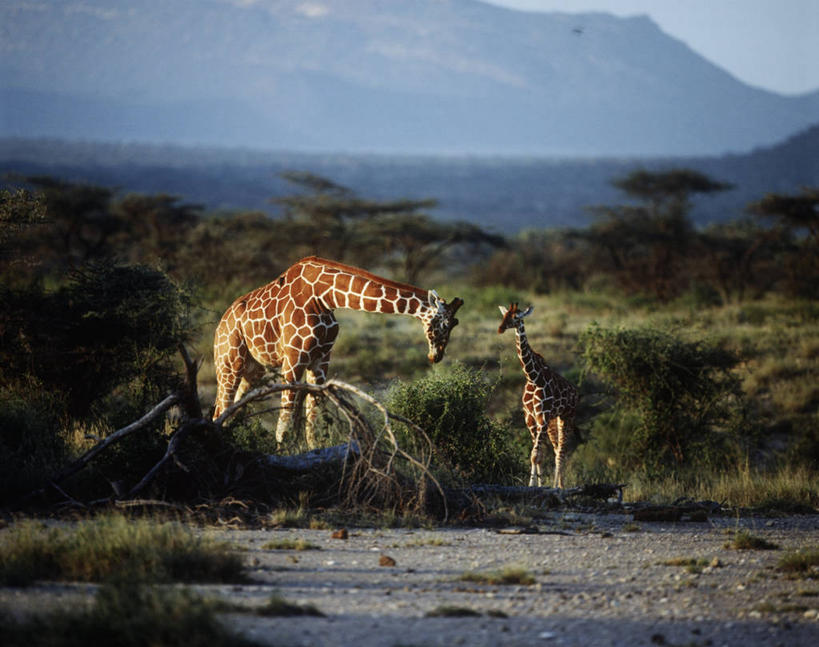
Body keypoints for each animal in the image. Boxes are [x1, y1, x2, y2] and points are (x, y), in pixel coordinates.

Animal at [215, 256, 464, 448]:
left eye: (455, 324)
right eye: (441, 324)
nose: (436, 357)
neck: (325, 297)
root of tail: (220, 325)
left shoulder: (321, 359)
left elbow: (313, 420)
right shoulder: (294, 359)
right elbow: (284, 423)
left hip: (253, 371)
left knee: (230, 410)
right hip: (229, 364)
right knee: (221, 410)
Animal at [496, 306, 580, 488]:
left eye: (516, 317)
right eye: (504, 316)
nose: (500, 328)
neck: (533, 377)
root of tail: (576, 393)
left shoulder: (542, 417)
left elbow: (536, 455)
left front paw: (534, 485)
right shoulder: (530, 418)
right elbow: (537, 455)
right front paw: (537, 485)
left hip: (567, 416)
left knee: (561, 452)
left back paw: (558, 487)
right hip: (553, 421)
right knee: (556, 450)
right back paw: (559, 485)